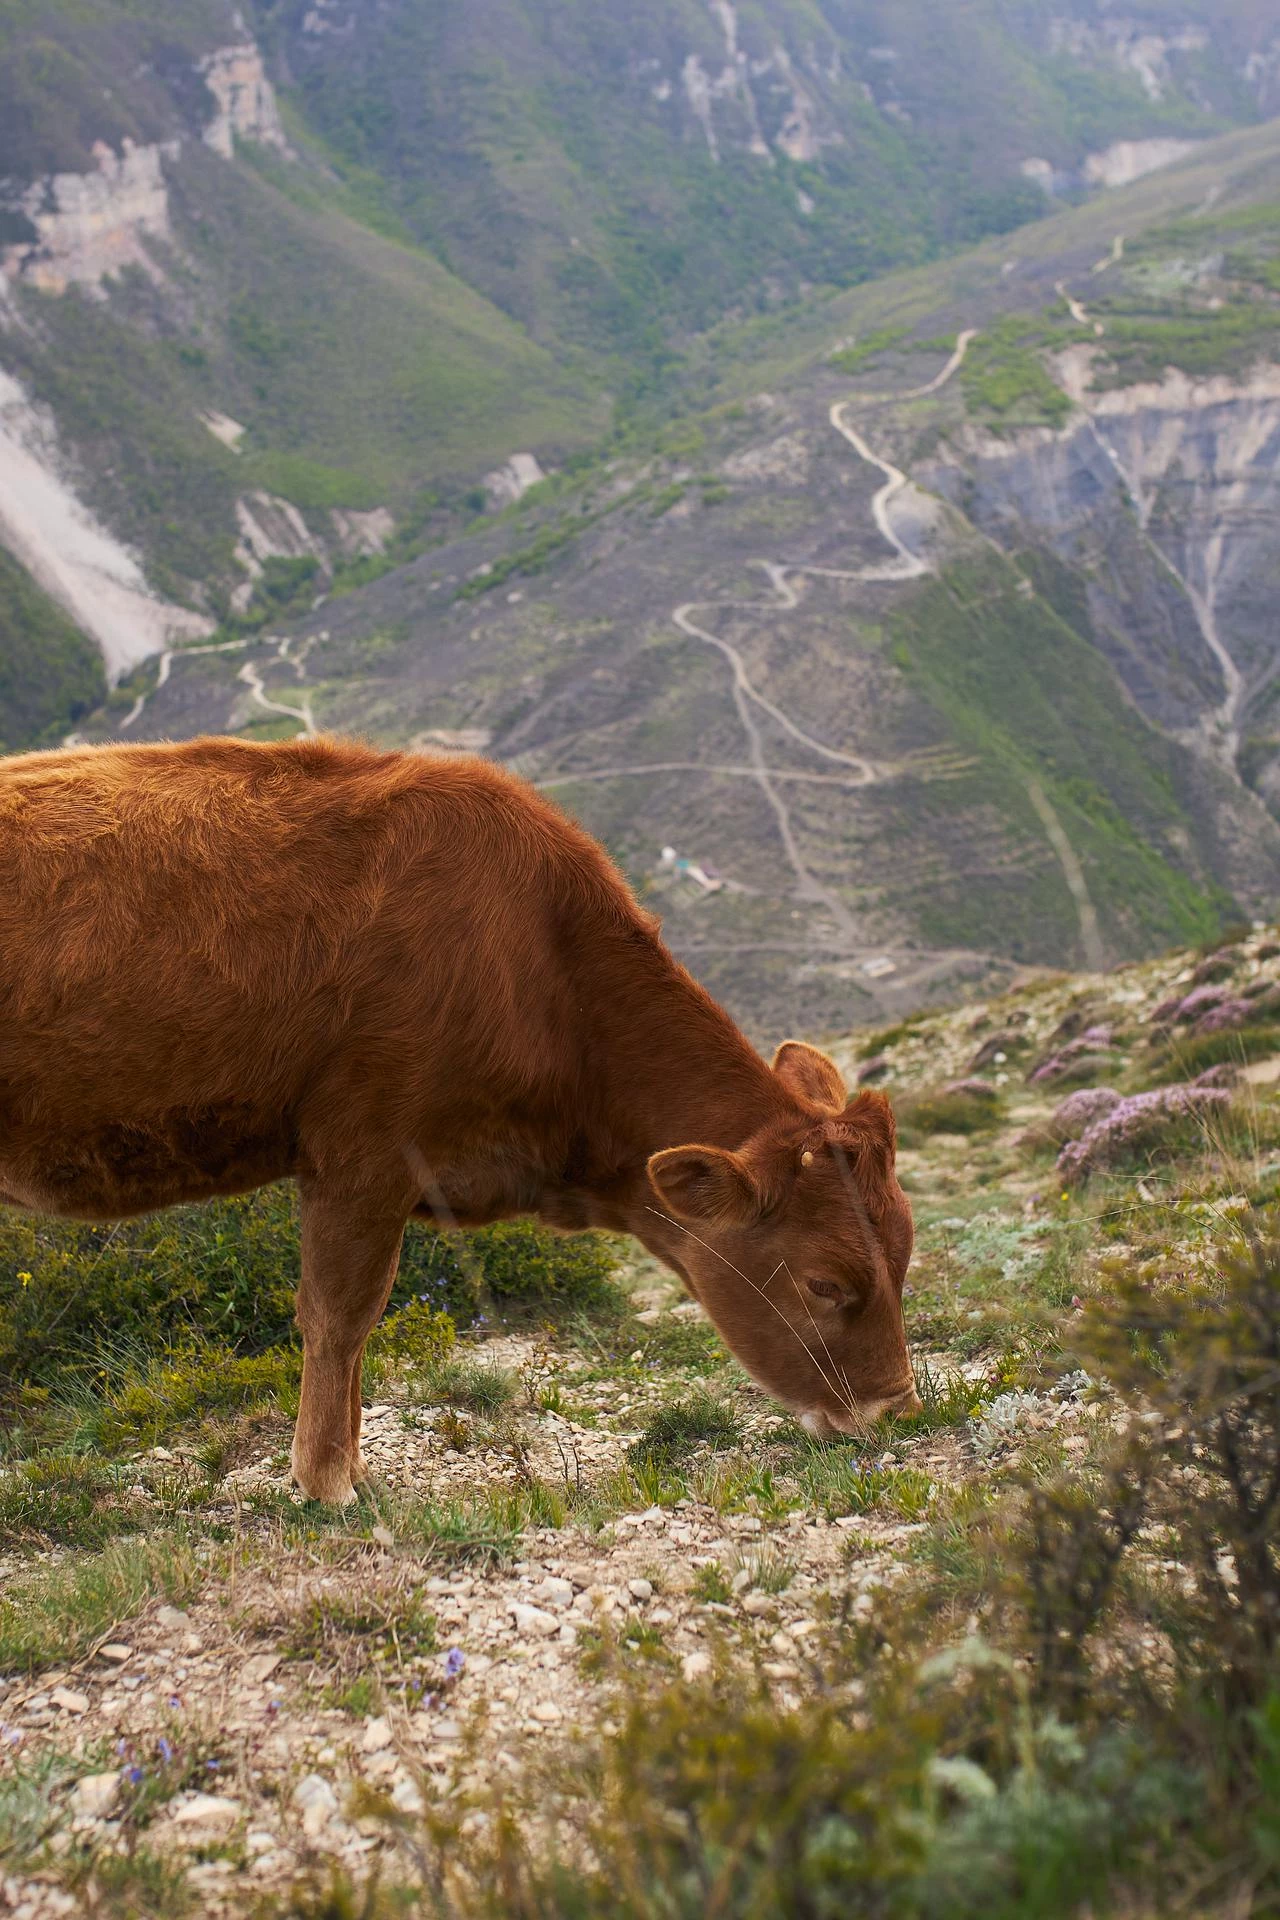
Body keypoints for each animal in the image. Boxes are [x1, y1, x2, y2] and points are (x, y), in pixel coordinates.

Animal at [0, 736, 918, 1502]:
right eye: (825, 1283)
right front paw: (327, 1482)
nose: (895, 1409)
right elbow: (340, 1315)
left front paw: (347, 1468)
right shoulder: (363, 1152)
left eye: (906, 1254)